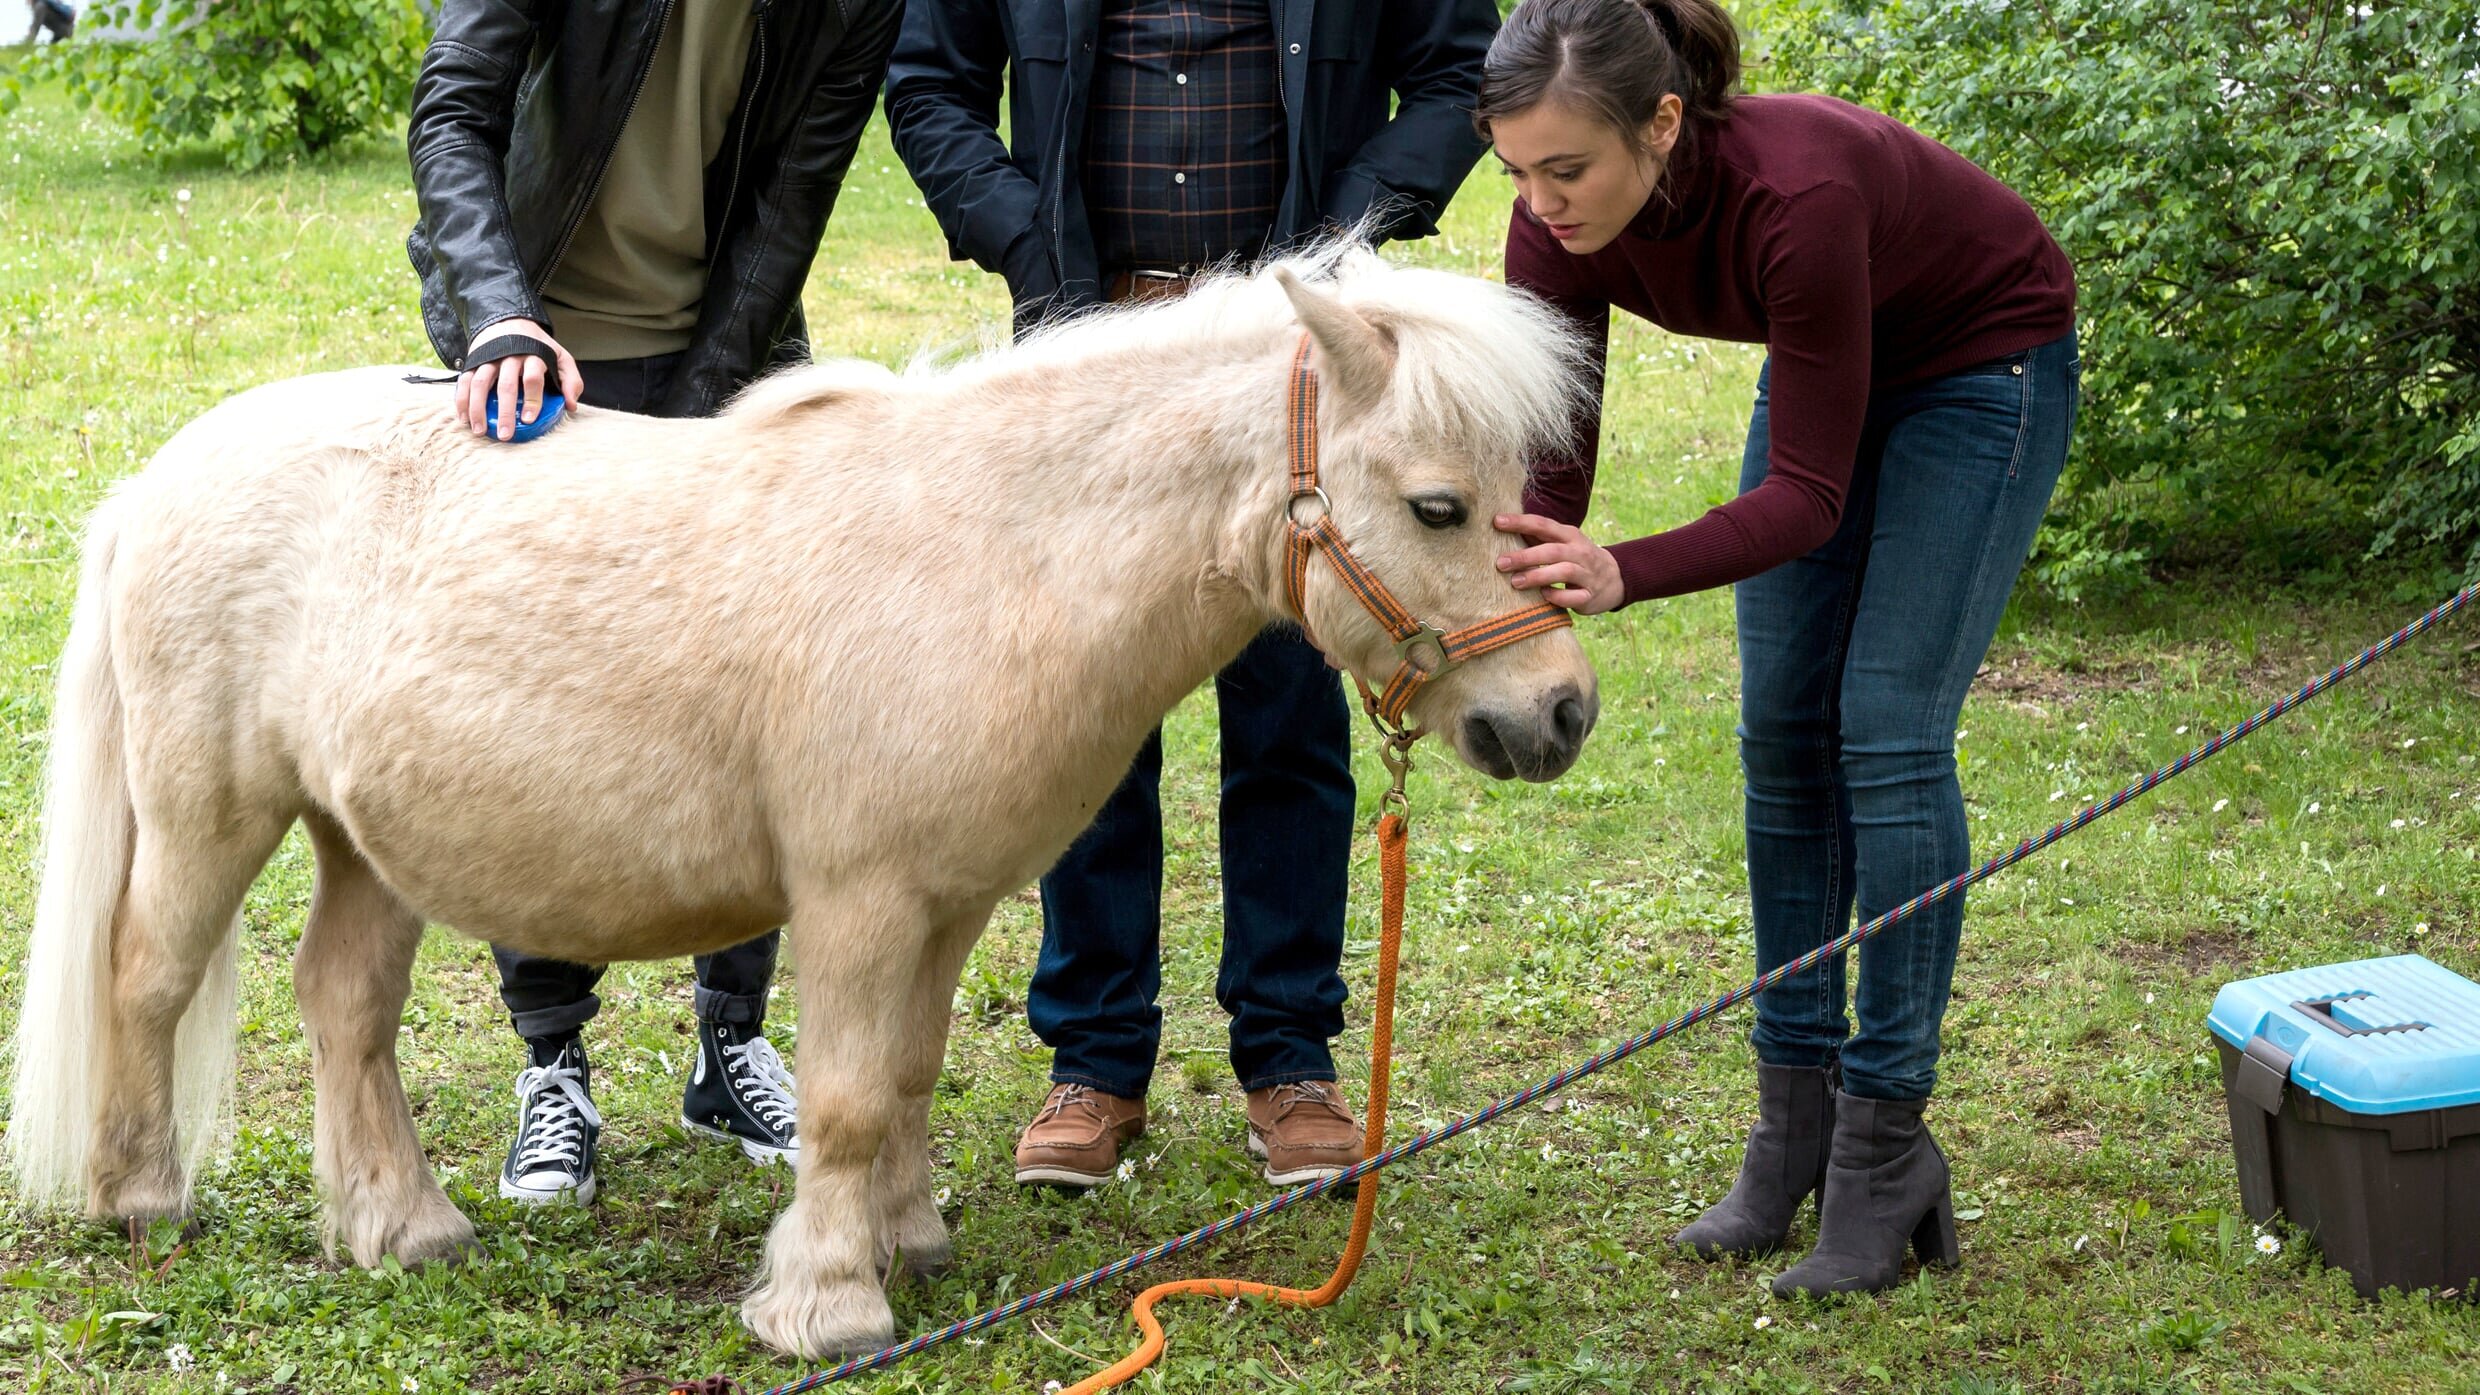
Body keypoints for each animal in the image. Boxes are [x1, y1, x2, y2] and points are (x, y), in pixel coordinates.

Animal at [9, 244, 1597, 1350]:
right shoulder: (860, 899)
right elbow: (838, 1100)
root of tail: (154, 481)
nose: (1561, 709)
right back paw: (143, 1198)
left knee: (344, 1008)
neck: (990, 550)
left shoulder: (948, 904)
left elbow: (903, 1077)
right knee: (146, 976)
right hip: (214, 811)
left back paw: (400, 1227)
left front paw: (910, 1241)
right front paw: (827, 1304)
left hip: (365, 839)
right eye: (1439, 505)